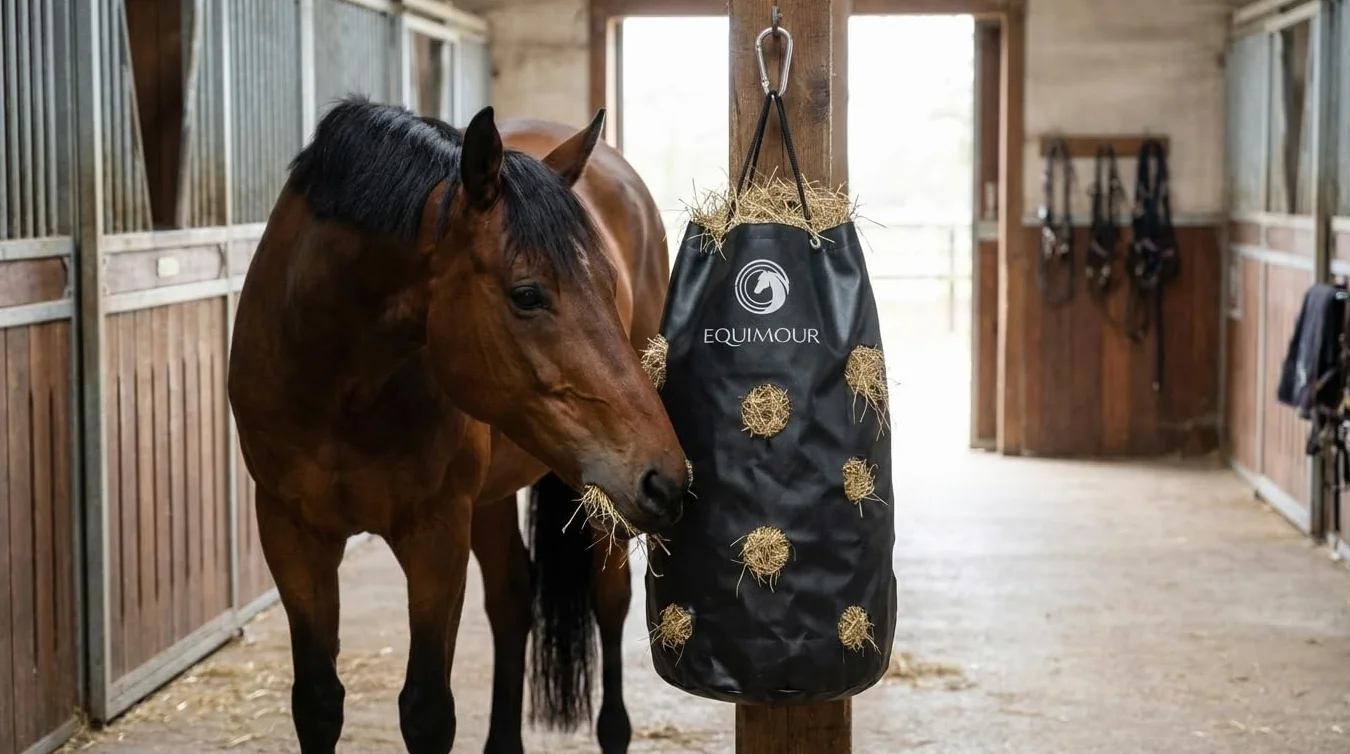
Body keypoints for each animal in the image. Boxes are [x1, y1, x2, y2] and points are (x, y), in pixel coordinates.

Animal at [227, 95, 685, 754]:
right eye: (527, 294)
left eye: (607, 284)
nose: (666, 477)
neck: (339, 383)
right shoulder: (290, 531)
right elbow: (316, 702)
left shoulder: (436, 534)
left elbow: (426, 710)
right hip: (491, 496)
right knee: (513, 598)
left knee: (610, 598)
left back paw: (614, 730)